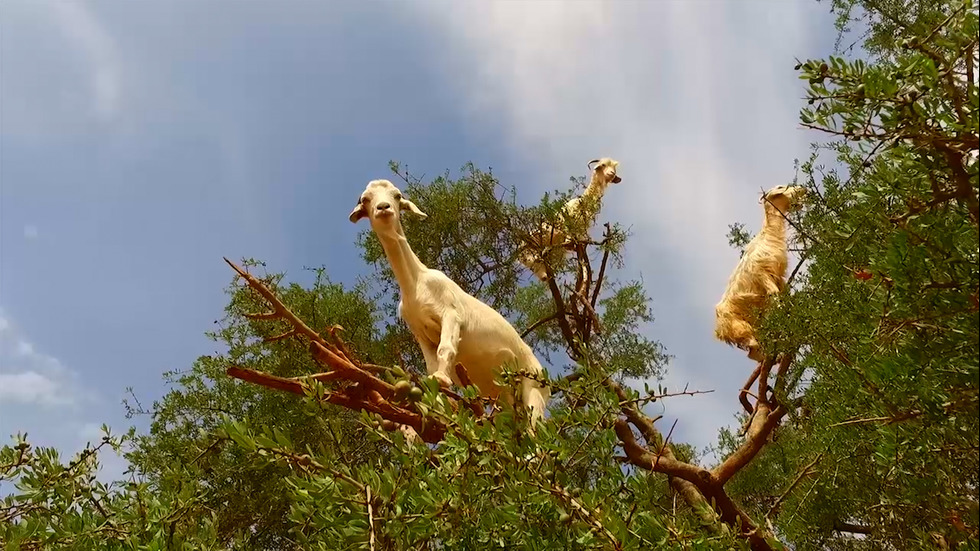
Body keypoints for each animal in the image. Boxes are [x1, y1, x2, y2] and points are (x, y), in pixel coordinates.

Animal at [350, 180, 552, 426]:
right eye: (366, 199)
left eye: (397, 196)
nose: (383, 208)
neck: (416, 284)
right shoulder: (419, 333)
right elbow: (429, 367)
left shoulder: (451, 313)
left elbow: (445, 347)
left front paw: (442, 379)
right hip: (507, 397)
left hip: (534, 389)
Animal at [716, 185, 808, 364]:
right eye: (780, 187)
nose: (802, 188)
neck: (768, 236)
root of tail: (718, 330)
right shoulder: (763, 275)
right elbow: (775, 296)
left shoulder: (779, 277)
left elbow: (785, 296)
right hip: (739, 326)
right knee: (752, 348)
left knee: (753, 353)